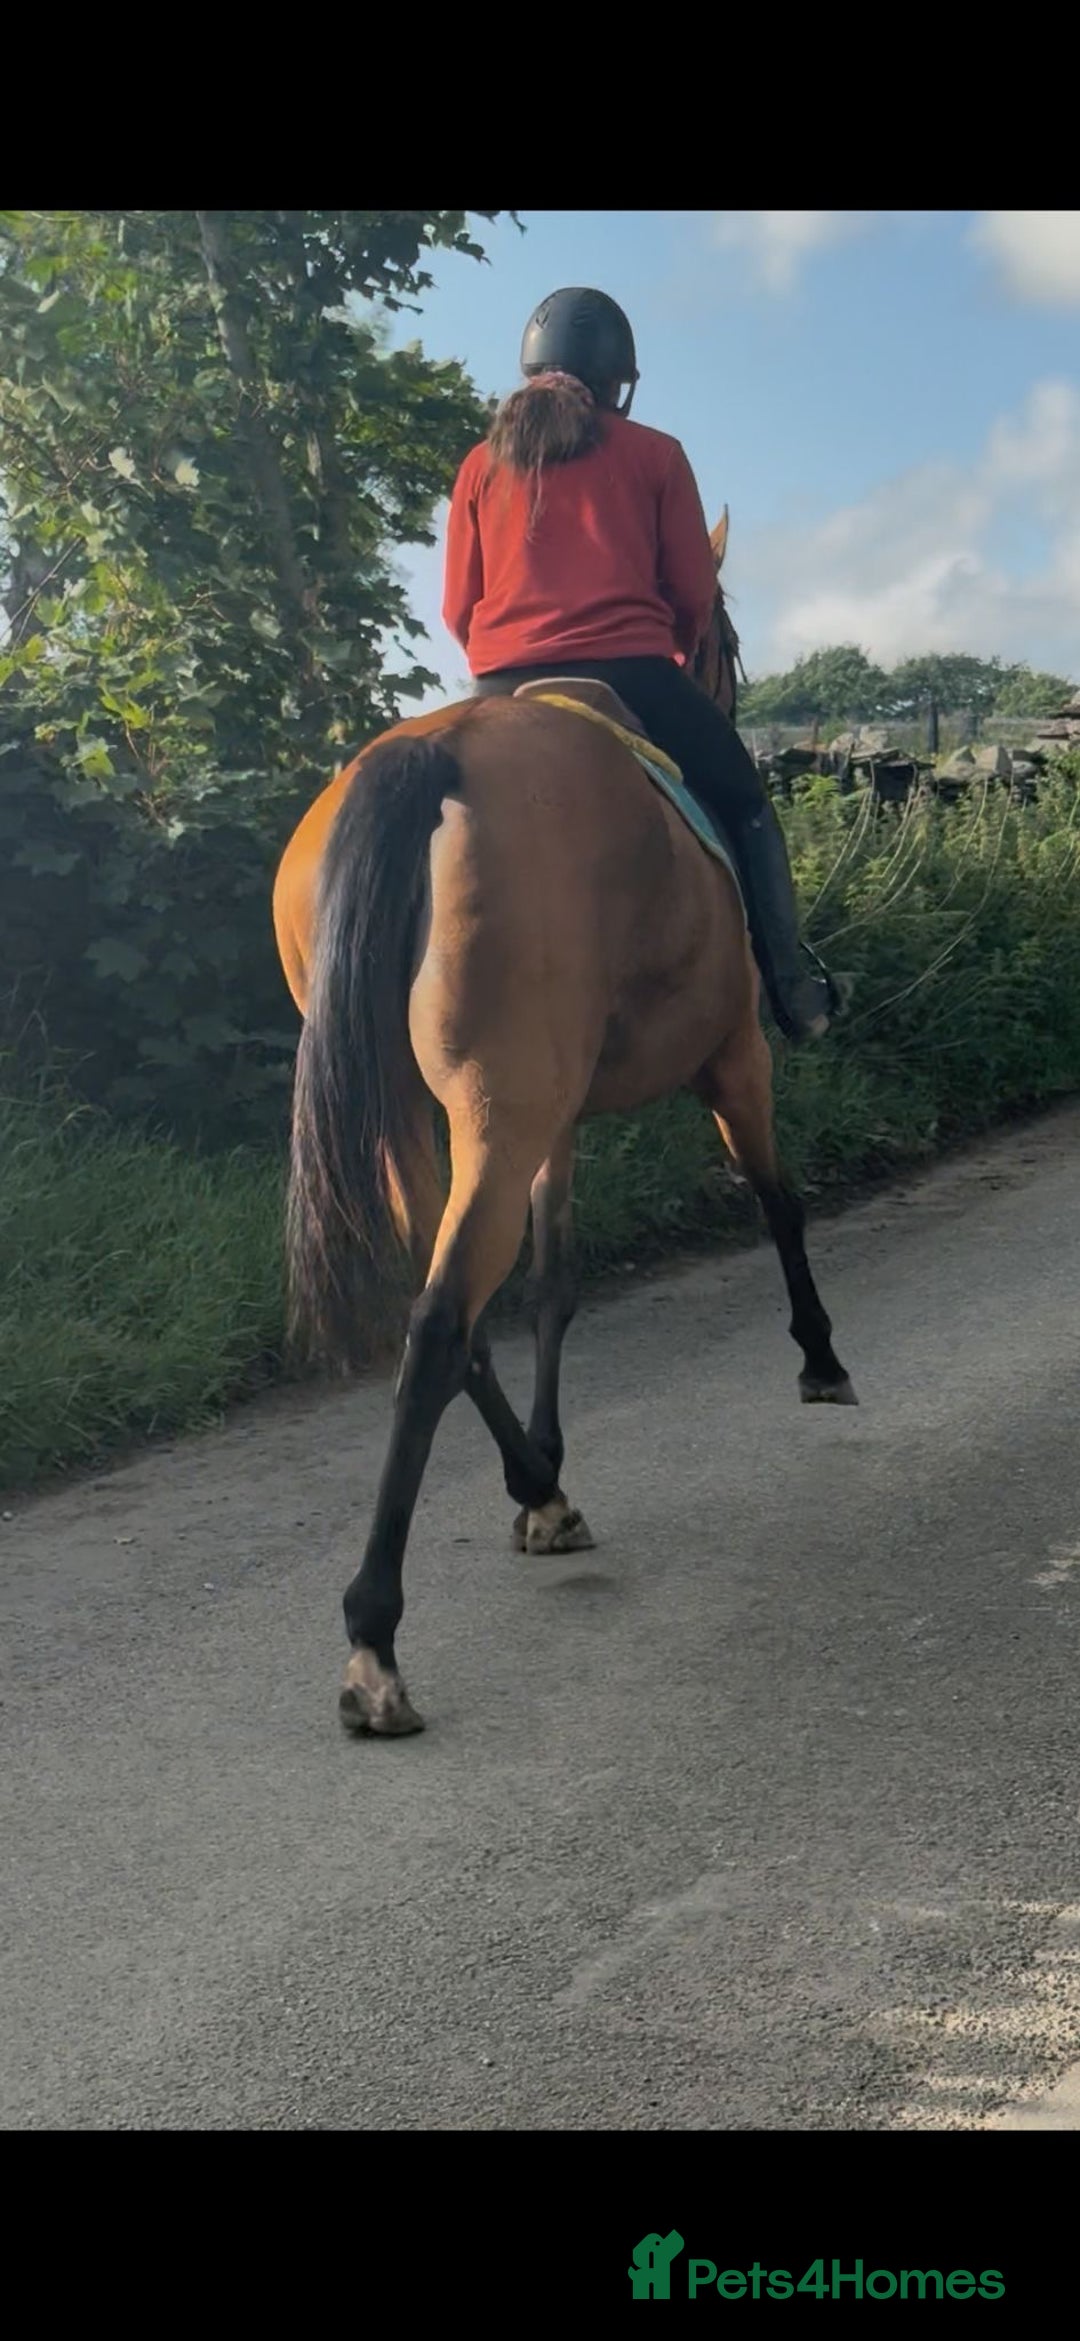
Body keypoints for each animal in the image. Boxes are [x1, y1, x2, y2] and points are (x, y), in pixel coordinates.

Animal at [273, 510, 856, 1738]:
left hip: (450, 1122)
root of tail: (430, 756)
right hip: (508, 1112)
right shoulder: (736, 1064)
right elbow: (779, 1203)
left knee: (449, 1311)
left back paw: (535, 1492)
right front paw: (821, 1355)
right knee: (438, 1318)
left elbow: (553, 1282)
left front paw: (541, 1465)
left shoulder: (559, 1123)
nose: (726, 683)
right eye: (723, 635)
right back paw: (374, 1638)